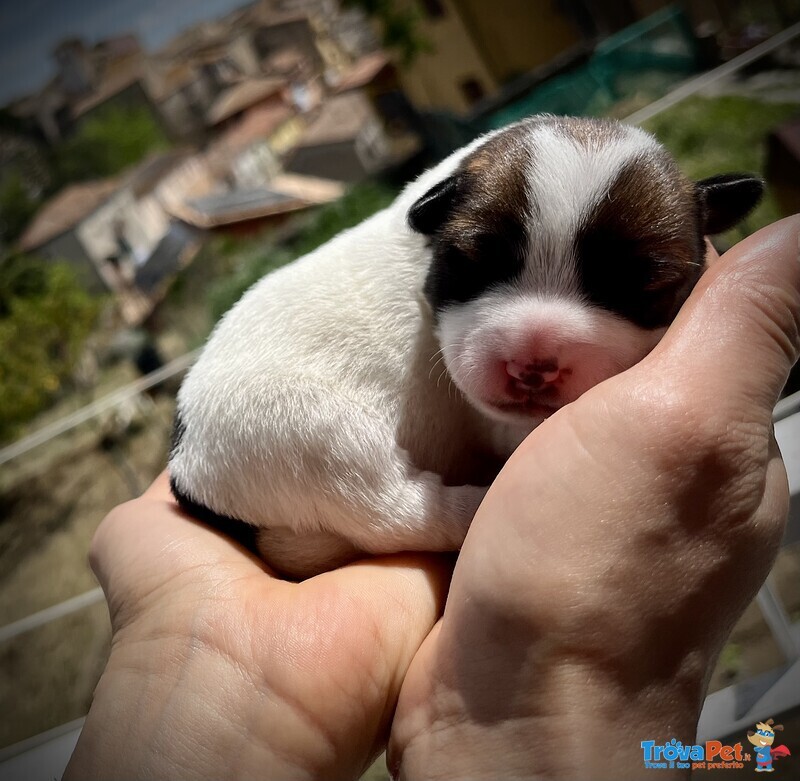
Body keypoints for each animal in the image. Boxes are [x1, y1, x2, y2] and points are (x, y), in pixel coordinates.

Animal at [167, 117, 764, 580]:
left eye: (642, 288)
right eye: (472, 263)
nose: (533, 364)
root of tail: (184, 467)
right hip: (305, 431)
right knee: (396, 509)